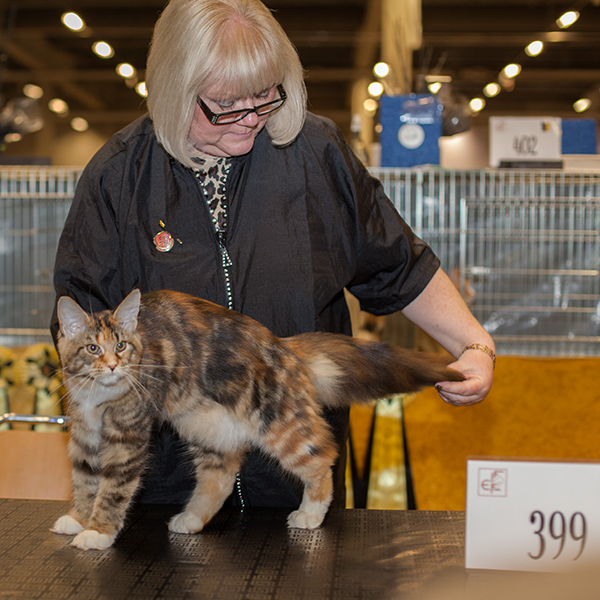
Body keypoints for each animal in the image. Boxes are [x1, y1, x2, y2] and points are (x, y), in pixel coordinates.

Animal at [51, 289, 463, 550]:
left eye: (121, 346)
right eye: (93, 348)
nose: (112, 365)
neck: (98, 397)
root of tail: (283, 345)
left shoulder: (128, 439)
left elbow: (112, 490)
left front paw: (98, 531)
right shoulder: (85, 436)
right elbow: (85, 481)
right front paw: (79, 518)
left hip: (279, 424)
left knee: (323, 459)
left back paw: (311, 513)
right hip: (205, 428)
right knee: (221, 477)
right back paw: (192, 519)